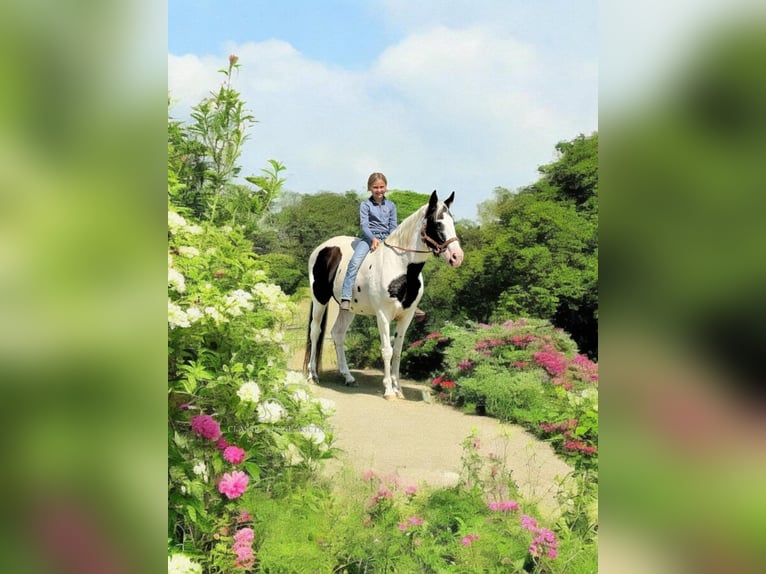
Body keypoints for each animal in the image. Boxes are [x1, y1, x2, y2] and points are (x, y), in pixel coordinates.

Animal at [304, 189, 464, 400]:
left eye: (452, 222)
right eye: (437, 223)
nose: (457, 257)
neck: (401, 268)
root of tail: (321, 249)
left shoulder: (406, 317)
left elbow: (397, 352)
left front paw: (399, 389)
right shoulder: (383, 315)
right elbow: (387, 351)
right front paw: (389, 390)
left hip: (348, 309)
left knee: (337, 333)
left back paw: (348, 377)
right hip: (319, 299)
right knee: (315, 331)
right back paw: (312, 375)